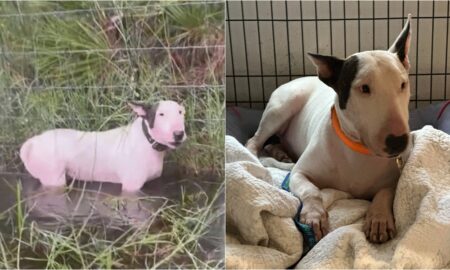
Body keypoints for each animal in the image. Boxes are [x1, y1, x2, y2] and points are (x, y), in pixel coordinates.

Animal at [20, 100, 185, 192]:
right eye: (161, 114)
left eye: (180, 112)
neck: (147, 141)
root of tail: (32, 142)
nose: (179, 134)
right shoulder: (131, 187)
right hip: (53, 179)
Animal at [248, 15, 414, 244]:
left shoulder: (395, 177)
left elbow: (385, 192)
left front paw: (379, 219)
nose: (398, 142)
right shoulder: (299, 173)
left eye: (403, 84)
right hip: (283, 106)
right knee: (254, 141)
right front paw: (314, 216)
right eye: (364, 88)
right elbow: (312, 191)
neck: (358, 150)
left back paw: (280, 153)